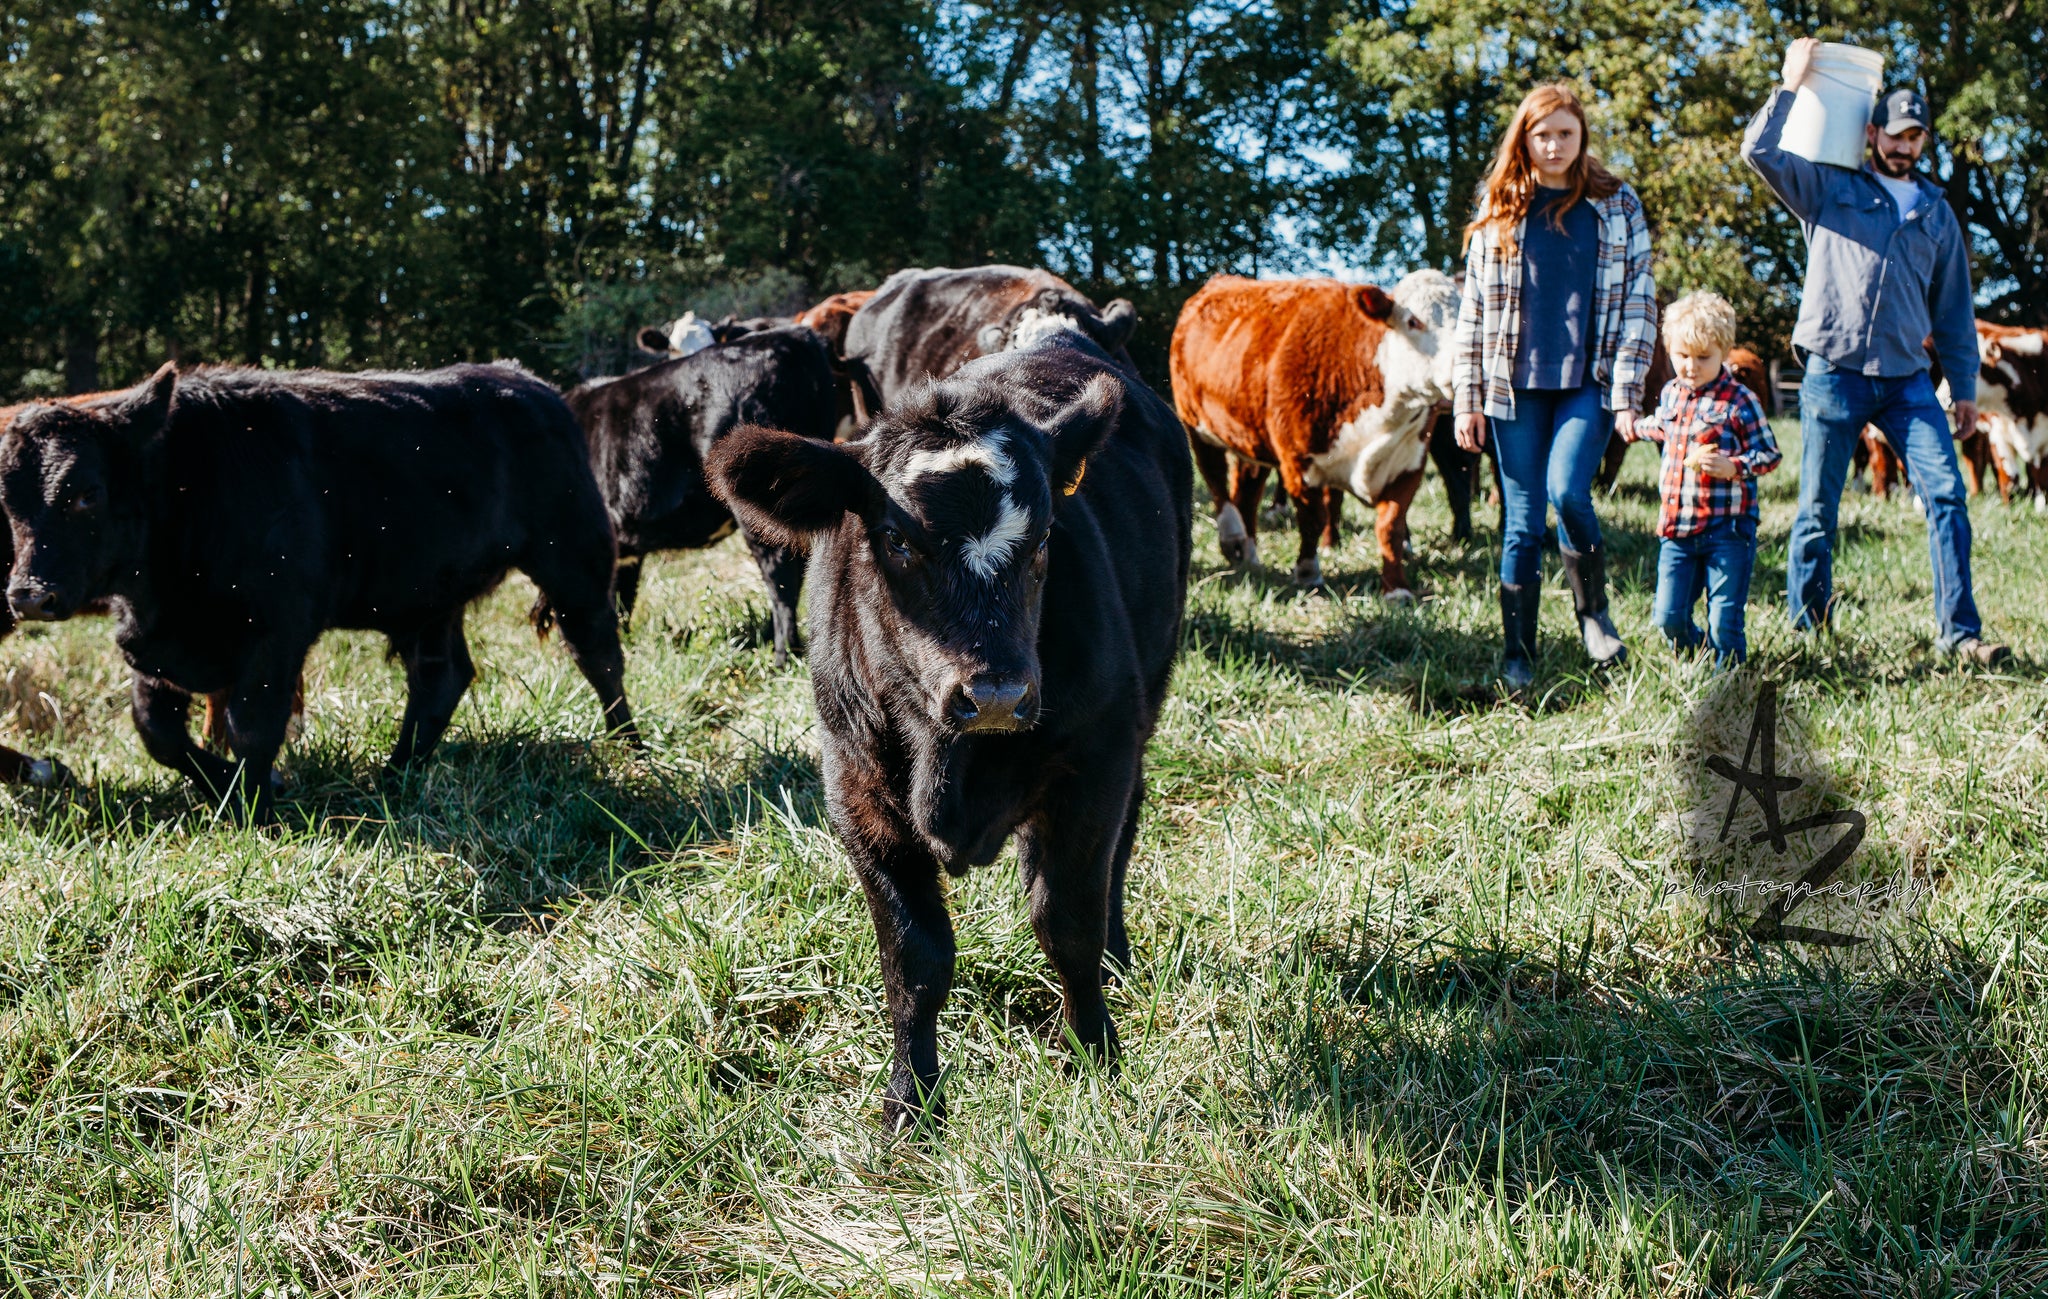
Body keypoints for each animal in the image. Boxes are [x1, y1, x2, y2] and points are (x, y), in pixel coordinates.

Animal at [704, 321, 1196, 1114]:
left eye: (1045, 537)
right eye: (898, 540)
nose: (994, 693)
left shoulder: (1098, 760)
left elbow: (1069, 921)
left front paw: (1096, 1055)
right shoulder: (854, 789)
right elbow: (916, 957)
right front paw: (911, 1098)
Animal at [1171, 276, 1458, 598]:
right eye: (1413, 321)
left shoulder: (1409, 463)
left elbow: (1391, 526)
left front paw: (1397, 589)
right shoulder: (1297, 460)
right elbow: (1313, 519)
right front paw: (1308, 573)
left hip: (1250, 437)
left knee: (1247, 491)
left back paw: (1249, 554)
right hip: (1197, 427)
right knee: (1216, 480)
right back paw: (1232, 538)